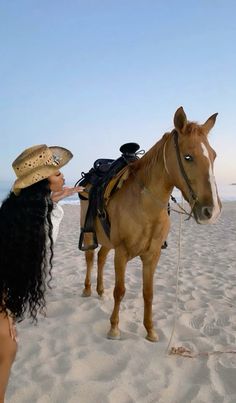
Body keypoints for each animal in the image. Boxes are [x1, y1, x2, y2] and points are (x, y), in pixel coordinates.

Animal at [79, 106, 221, 340]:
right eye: (188, 157)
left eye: (213, 156)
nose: (212, 211)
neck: (145, 207)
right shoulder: (122, 252)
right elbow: (120, 291)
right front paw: (114, 328)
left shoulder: (152, 255)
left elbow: (149, 293)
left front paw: (150, 330)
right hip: (91, 234)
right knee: (91, 259)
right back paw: (88, 289)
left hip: (107, 240)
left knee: (100, 258)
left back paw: (99, 290)